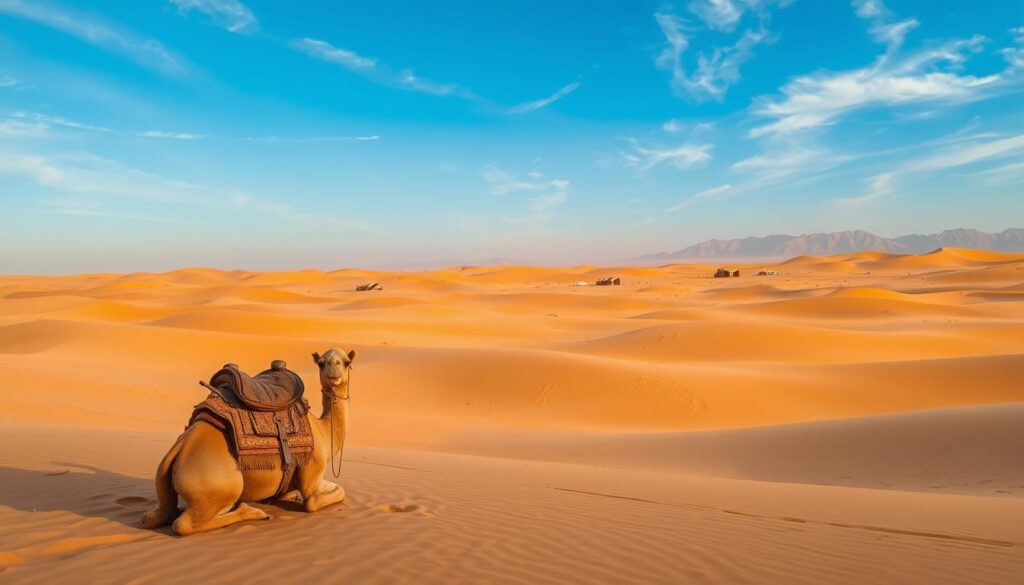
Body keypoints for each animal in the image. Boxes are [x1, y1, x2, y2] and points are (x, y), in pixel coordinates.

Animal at [141, 348, 355, 535]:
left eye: (346, 362)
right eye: (321, 363)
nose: (333, 367)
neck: (322, 431)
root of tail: (179, 448)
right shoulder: (312, 475)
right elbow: (324, 496)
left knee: (156, 516)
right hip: (220, 490)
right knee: (184, 524)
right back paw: (254, 512)